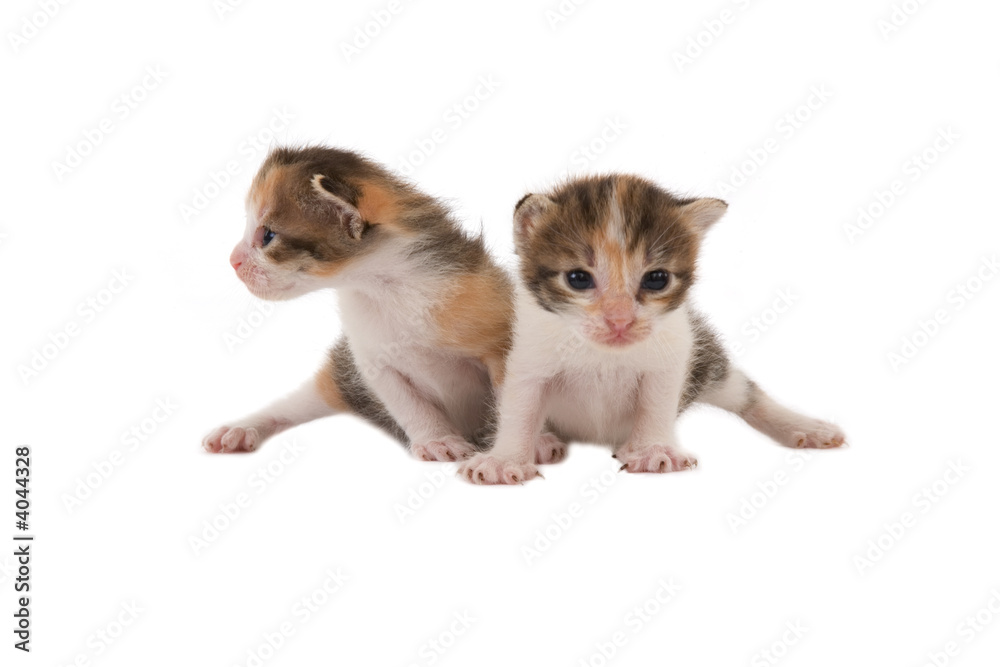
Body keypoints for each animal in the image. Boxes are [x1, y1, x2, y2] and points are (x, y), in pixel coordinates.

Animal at [203, 146, 516, 462]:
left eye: (268, 235)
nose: (232, 260)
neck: (382, 288)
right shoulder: (372, 361)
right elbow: (408, 404)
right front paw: (437, 440)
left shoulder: (500, 340)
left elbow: (511, 398)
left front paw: (510, 453)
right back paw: (241, 429)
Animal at [458, 172, 844, 486]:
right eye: (578, 278)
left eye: (657, 279)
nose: (620, 320)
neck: (602, 354)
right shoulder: (527, 355)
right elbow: (519, 407)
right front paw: (505, 459)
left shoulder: (675, 352)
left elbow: (657, 402)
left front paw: (654, 450)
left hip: (707, 363)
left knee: (744, 392)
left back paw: (805, 427)